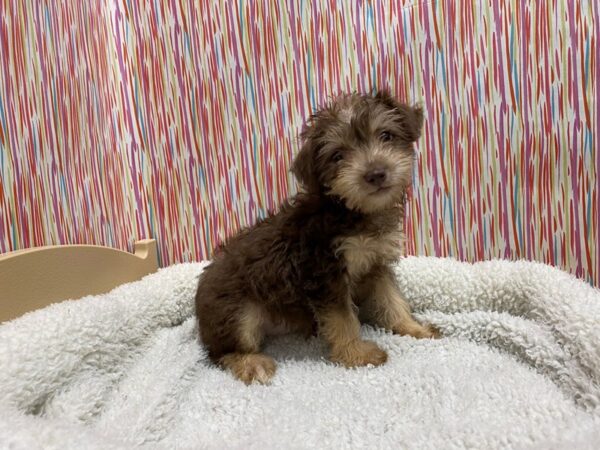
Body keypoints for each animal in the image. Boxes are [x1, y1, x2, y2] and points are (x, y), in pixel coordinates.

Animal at [197, 89, 436, 384]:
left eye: (386, 135)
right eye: (338, 156)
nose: (376, 174)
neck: (350, 210)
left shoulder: (376, 263)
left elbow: (392, 299)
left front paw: (413, 328)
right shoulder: (325, 274)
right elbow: (342, 318)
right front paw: (357, 354)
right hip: (237, 312)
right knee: (221, 352)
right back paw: (252, 363)